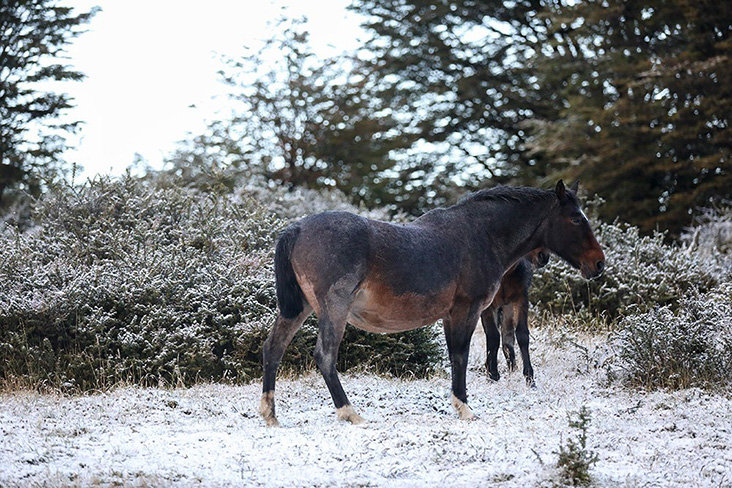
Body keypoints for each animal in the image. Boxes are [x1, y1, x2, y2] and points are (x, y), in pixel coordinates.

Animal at [481, 248, 549, 387]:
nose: (543, 257)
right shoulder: (488, 306)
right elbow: (493, 336)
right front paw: (493, 374)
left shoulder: (520, 299)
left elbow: (522, 335)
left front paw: (529, 379)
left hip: (507, 308)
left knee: (507, 338)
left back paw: (511, 368)